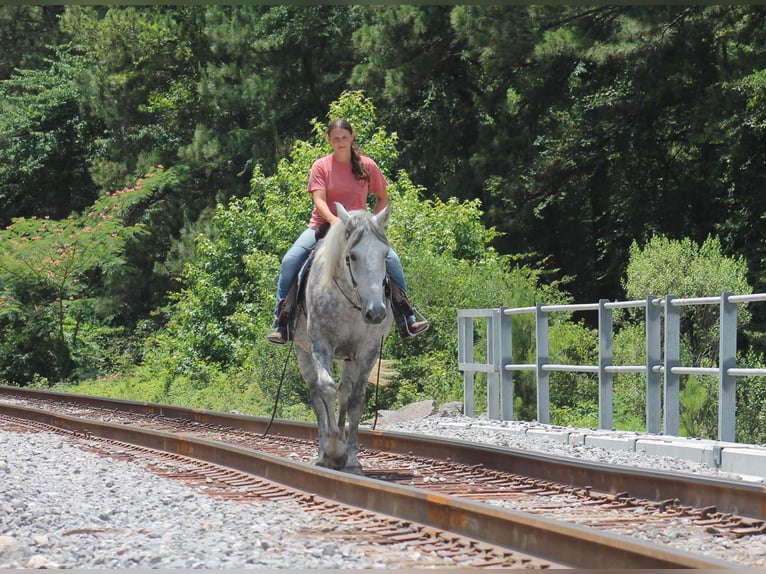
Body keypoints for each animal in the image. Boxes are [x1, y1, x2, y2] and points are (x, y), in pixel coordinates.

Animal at [292, 205, 392, 474]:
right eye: (353, 256)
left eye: (385, 255)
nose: (376, 312)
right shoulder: (320, 344)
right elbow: (327, 389)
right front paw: (333, 451)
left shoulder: (368, 351)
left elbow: (356, 399)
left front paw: (351, 458)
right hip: (303, 352)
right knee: (316, 395)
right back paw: (323, 451)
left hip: (350, 358)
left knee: (345, 392)